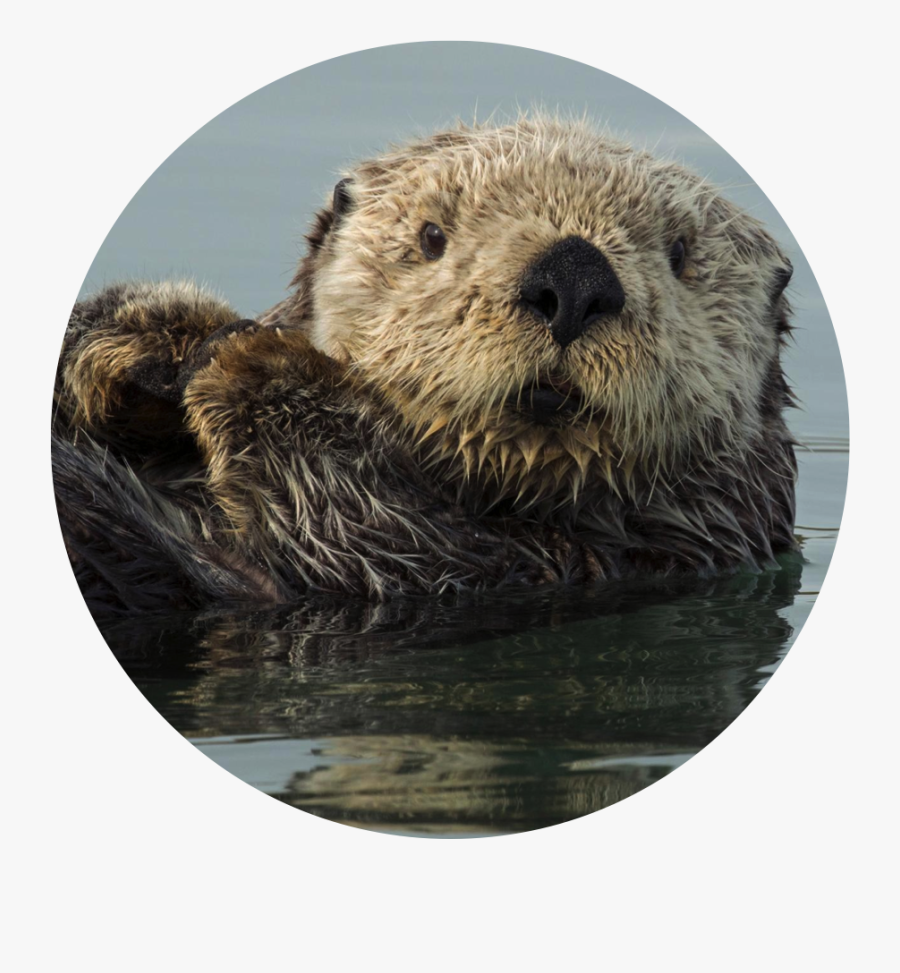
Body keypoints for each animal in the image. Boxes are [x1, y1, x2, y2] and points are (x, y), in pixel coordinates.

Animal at [52, 115, 798, 615]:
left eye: (682, 254)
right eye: (432, 235)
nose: (574, 275)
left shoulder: (568, 567)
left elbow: (369, 531)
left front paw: (255, 363)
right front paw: (163, 339)